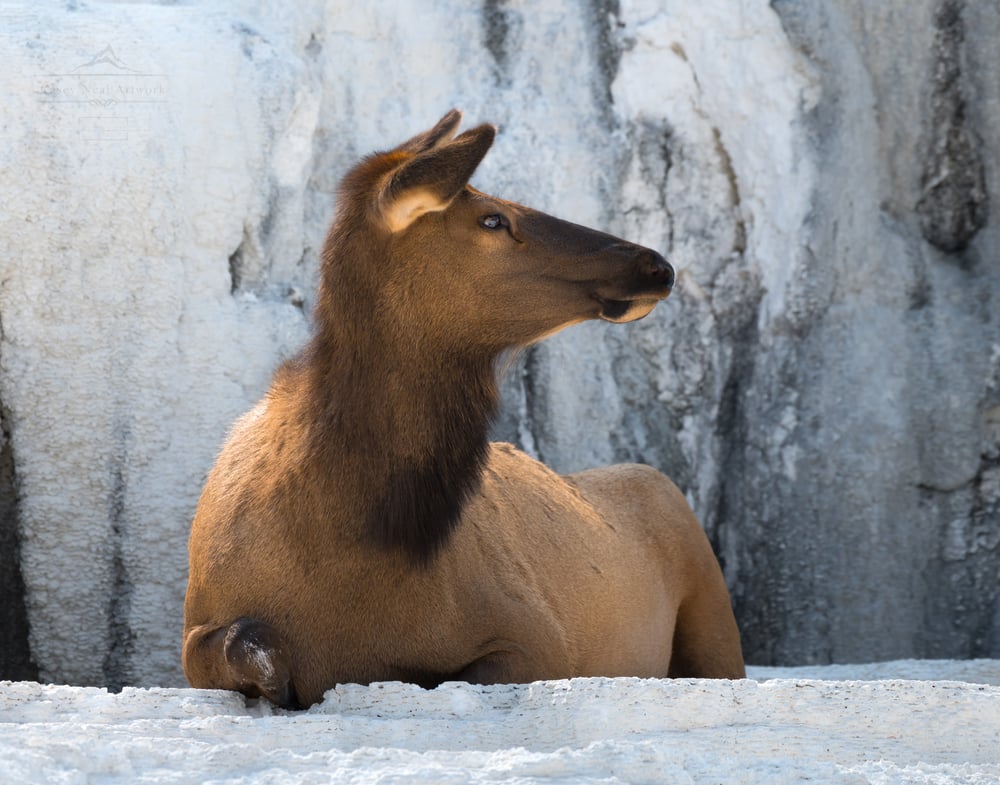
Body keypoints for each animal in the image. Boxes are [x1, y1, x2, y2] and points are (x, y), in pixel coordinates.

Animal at [182, 110, 745, 709]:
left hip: (713, 610)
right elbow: (249, 641)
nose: (655, 264)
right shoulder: (198, 629)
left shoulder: (536, 636)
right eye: (492, 219)